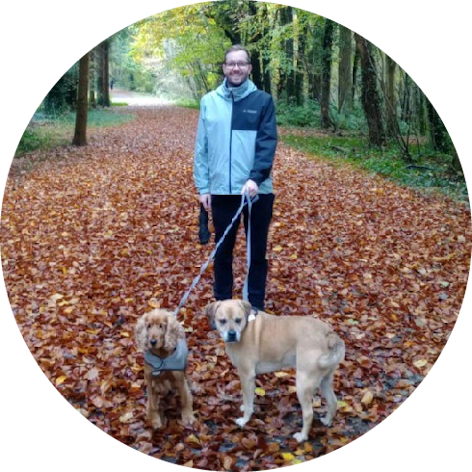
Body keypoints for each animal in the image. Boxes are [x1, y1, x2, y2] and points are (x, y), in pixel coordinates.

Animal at [205, 298, 344, 442]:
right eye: (222, 321)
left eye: (238, 320)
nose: (232, 334)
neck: (245, 329)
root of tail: (330, 335)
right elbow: (248, 398)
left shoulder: (246, 375)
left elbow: (248, 401)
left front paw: (245, 420)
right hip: (325, 380)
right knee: (333, 401)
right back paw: (327, 421)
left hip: (303, 383)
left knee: (308, 413)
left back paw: (302, 436)